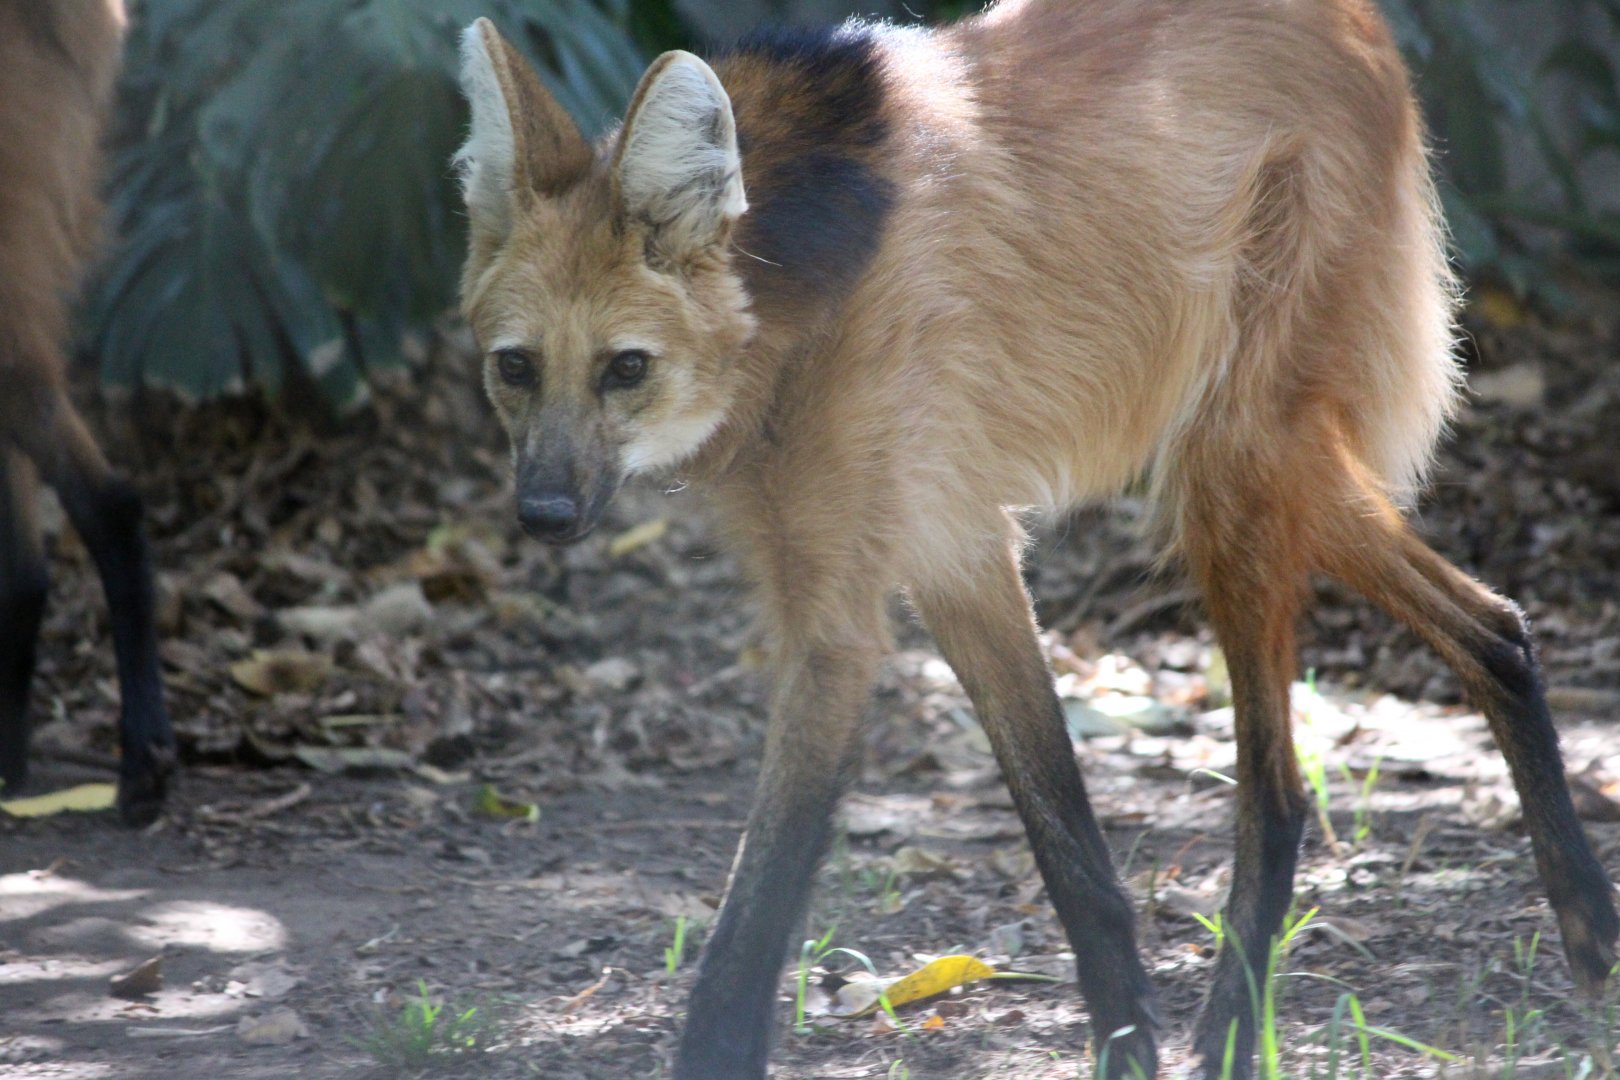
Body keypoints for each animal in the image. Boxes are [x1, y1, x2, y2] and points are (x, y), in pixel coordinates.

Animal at [452, 2, 1618, 1075]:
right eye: (515, 368)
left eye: (625, 368)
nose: (544, 515)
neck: (795, 293)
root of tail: (1362, 24)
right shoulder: (952, 551)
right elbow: (1068, 843)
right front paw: (1125, 1045)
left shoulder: (845, 621)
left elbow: (753, 918)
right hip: (1260, 466)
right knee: (1497, 628)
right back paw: (1588, 932)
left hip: (1231, 463)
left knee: (1281, 790)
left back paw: (1240, 1030)